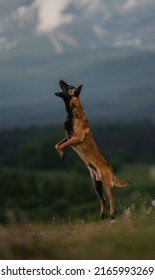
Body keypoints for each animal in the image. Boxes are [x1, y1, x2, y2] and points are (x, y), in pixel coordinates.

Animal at [54, 80, 130, 220]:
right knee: (103, 200)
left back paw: (112, 215)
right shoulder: (68, 137)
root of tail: (111, 169)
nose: (60, 80)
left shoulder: (76, 137)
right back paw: (102, 215)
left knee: (111, 200)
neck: (74, 110)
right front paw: (61, 153)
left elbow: (61, 145)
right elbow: (57, 145)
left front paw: (62, 154)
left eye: (69, 86)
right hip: (96, 185)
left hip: (106, 185)